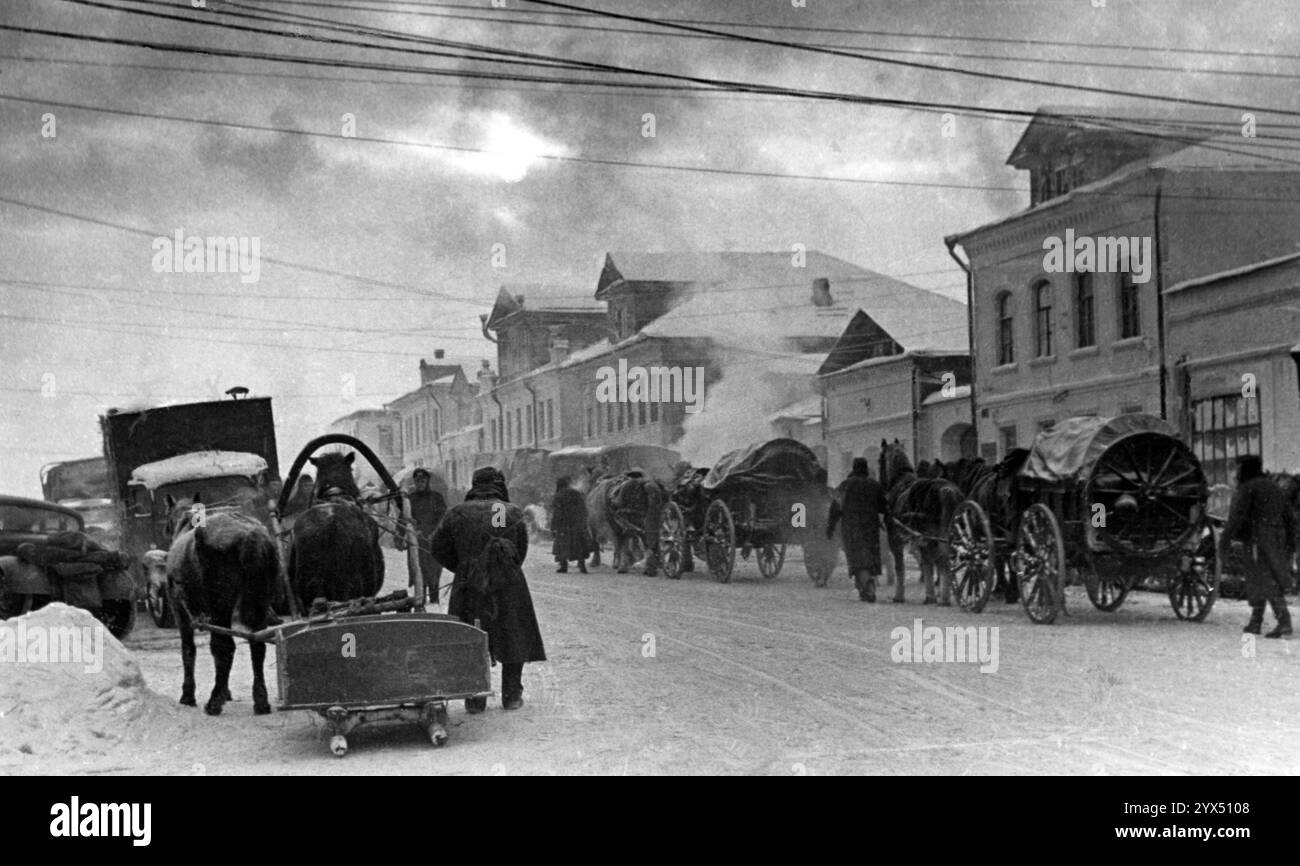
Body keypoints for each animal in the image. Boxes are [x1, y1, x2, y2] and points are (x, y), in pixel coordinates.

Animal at [163, 491, 280, 712]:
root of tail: (252, 535)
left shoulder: (179, 610)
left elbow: (188, 650)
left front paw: (188, 695)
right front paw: (226, 692)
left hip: (220, 606)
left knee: (224, 647)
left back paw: (214, 701)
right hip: (258, 602)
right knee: (257, 644)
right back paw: (260, 700)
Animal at [883, 434, 967, 603]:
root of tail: (946, 489)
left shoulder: (895, 538)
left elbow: (900, 566)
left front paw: (899, 595)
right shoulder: (922, 538)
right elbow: (928, 562)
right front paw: (931, 595)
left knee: (943, 558)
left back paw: (945, 598)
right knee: (945, 559)